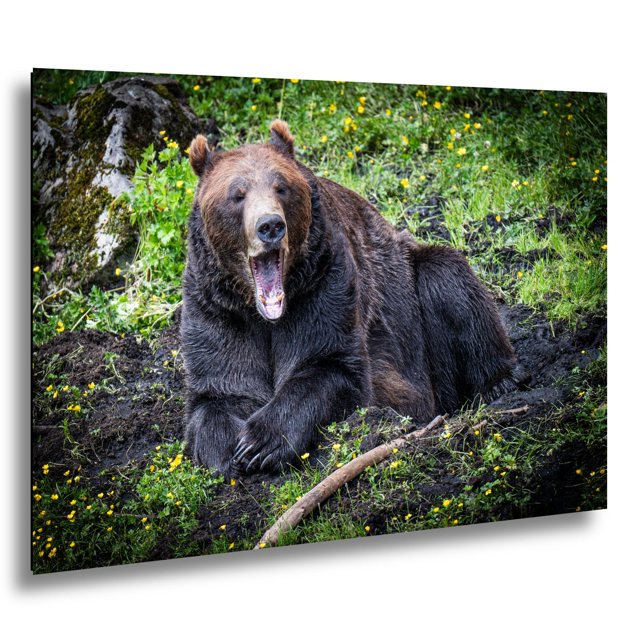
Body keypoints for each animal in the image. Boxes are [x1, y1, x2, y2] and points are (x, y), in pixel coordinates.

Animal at [180, 120, 521, 478]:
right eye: (237, 194)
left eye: (281, 187)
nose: (270, 225)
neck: (265, 314)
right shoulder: (217, 308)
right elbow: (219, 389)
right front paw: (229, 452)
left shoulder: (324, 283)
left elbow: (331, 367)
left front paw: (261, 442)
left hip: (411, 285)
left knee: (447, 279)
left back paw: (499, 382)